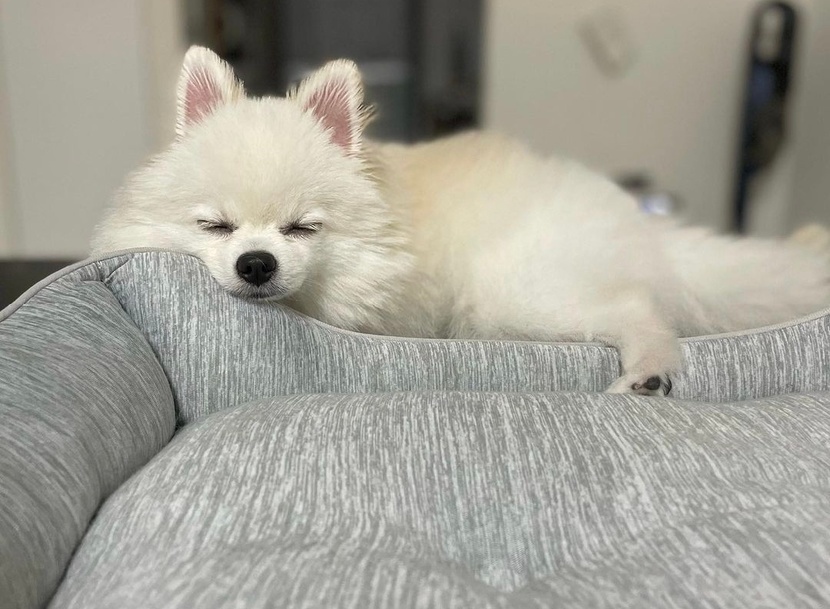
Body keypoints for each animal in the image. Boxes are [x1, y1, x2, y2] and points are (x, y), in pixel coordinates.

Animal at [91, 46, 830, 395]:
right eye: (215, 227)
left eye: (303, 228)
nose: (255, 264)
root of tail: (641, 225)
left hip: (515, 293)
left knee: (640, 312)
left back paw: (650, 371)